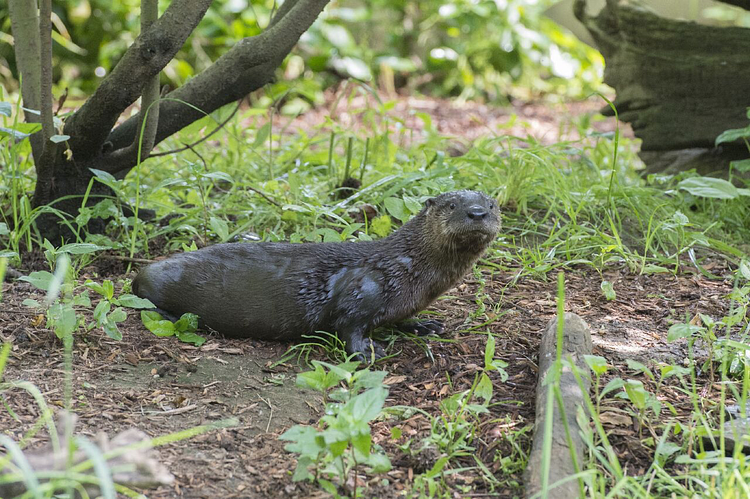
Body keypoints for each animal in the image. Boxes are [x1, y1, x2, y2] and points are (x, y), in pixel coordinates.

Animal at [132, 190, 500, 360]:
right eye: (451, 206)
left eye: (492, 205)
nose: (476, 213)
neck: (407, 265)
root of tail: (142, 270)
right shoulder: (363, 290)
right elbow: (348, 326)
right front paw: (367, 351)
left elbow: (401, 318)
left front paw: (424, 325)